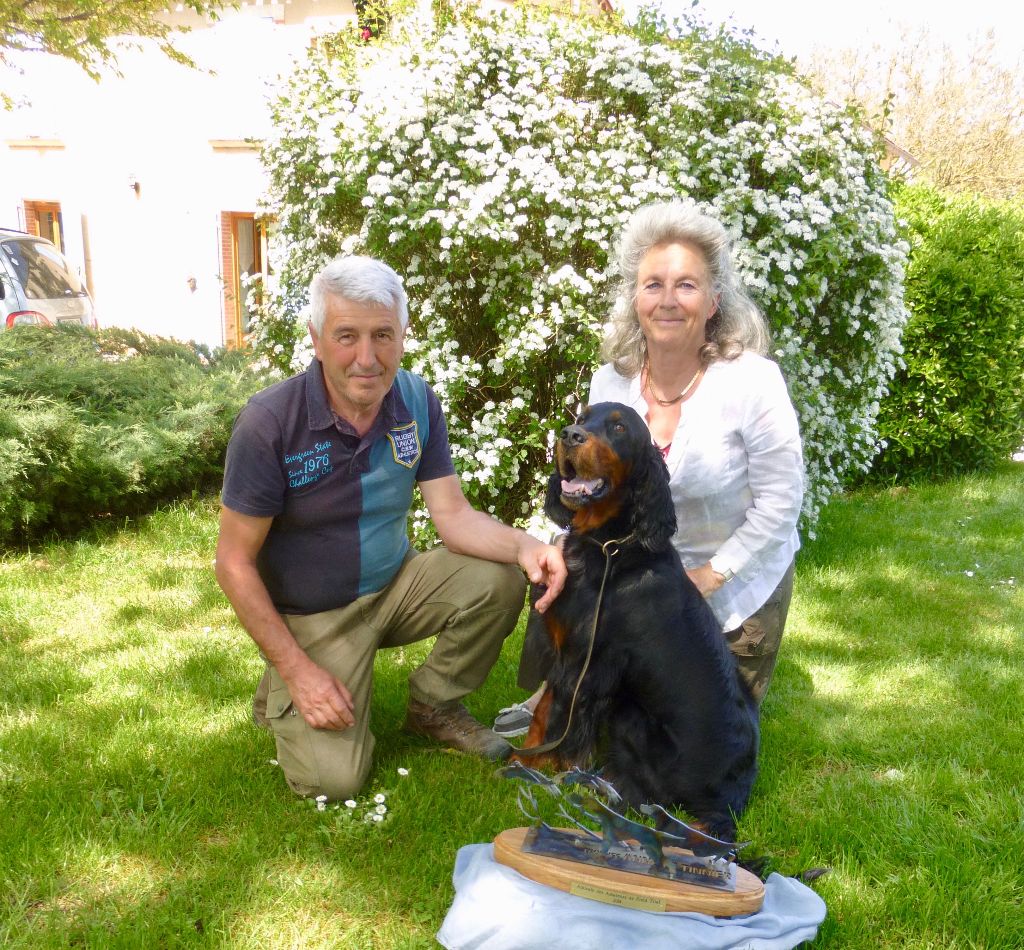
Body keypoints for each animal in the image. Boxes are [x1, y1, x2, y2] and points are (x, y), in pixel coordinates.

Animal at [516, 401, 757, 839]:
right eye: (582, 417)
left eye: (618, 429)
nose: (569, 435)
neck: (609, 546)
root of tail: (730, 803)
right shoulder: (568, 655)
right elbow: (544, 712)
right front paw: (522, 760)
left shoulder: (588, 666)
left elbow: (562, 723)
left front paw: (543, 772)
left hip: (630, 715)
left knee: (638, 799)